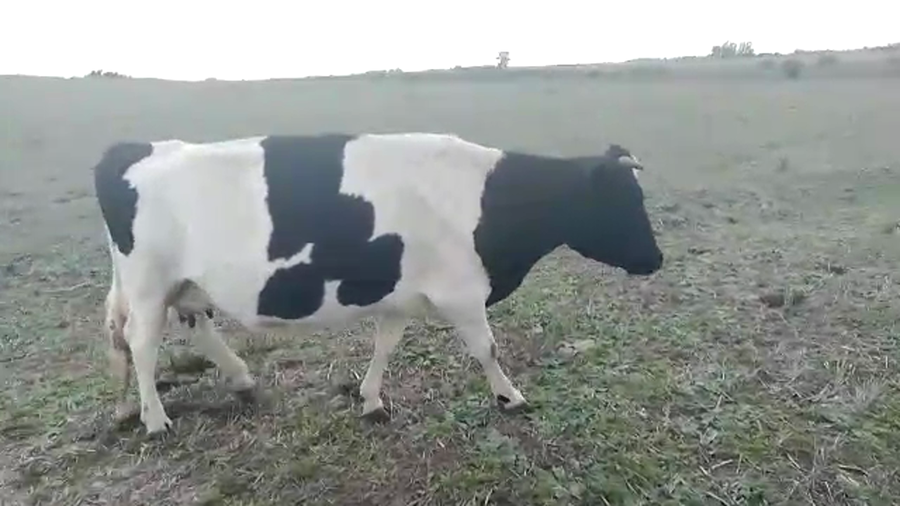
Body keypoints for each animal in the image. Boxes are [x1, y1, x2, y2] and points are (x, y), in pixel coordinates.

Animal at [92, 132, 664, 435]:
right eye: (624, 200)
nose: (657, 259)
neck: (484, 200)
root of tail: (137, 147)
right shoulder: (461, 292)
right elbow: (487, 348)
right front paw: (512, 397)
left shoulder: (402, 296)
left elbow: (385, 344)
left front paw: (370, 400)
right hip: (149, 283)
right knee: (142, 343)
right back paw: (156, 419)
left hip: (182, 284)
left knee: (193, 327)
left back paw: (240, 380)